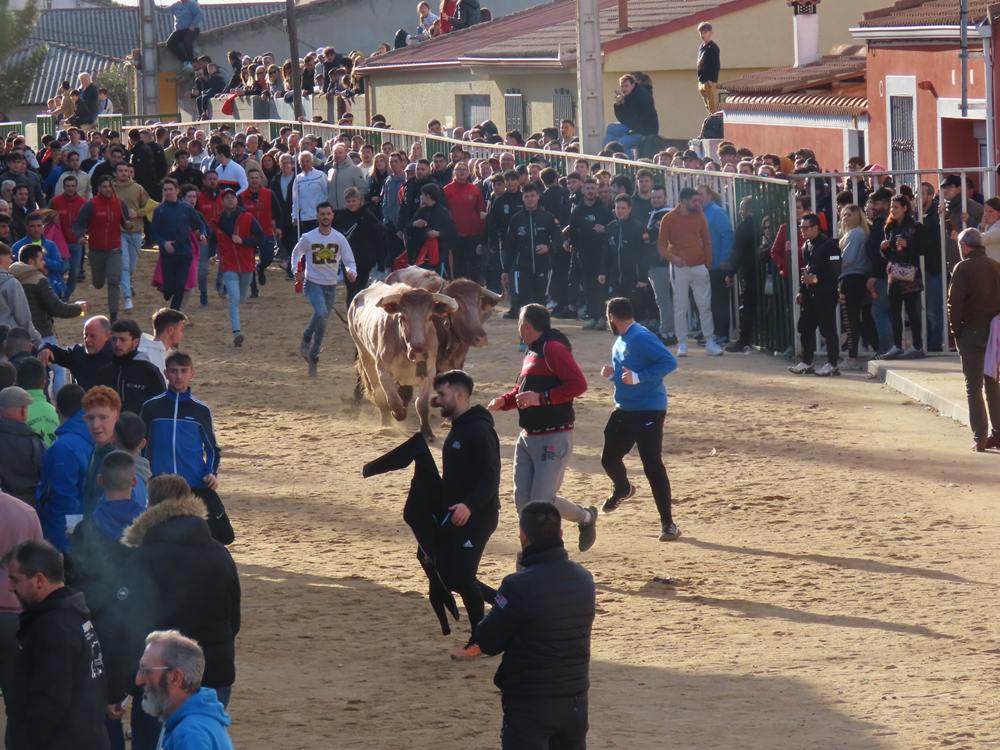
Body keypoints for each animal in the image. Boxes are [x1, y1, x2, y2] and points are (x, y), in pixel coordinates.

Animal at [348, 282, 458, 440]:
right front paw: (398, 414)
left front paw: (427, 432)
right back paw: (386, 426)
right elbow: (393, 400)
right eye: (403, 317)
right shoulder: (383, 371)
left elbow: (421, 404)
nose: (418, 351)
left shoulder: (429, 373)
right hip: (365, 356)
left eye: (429, 317)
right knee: (379, 395)